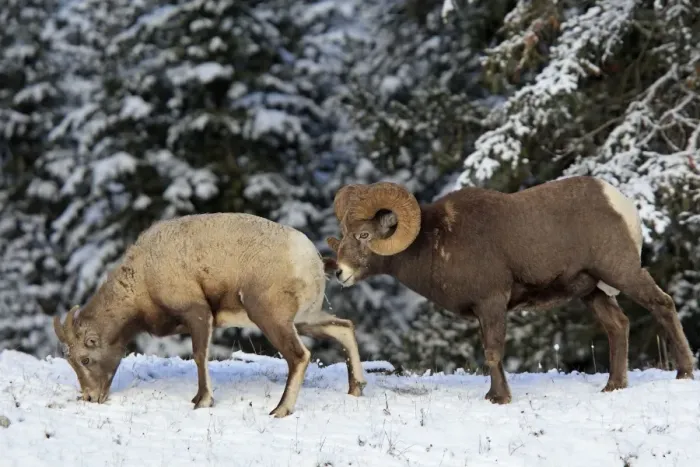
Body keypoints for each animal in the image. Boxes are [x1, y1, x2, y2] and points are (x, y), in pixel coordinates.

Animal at [53, 212, 367, 418]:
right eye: (70, 361)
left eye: (85, 358)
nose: (90, 397)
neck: (143, 282)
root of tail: (313, 259)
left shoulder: (199, 313)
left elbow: (199, 356)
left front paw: (202, 401)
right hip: (304, 319)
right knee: (344, 327)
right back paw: (356, 389)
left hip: (271, 317)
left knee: (300, 356)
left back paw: (279, 410)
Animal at [325, 176, 695, 404]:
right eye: (343, 235)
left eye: (363, 235)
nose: (339, 272)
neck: (436, 243)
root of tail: (620, 203)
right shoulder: (481, 311)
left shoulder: (492, 303)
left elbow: (493, 352)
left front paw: (499, 398)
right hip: (593, 292)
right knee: (619, 326)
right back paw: (613, 386)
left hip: (621, 272)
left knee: (662, 304)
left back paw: (684, 373)